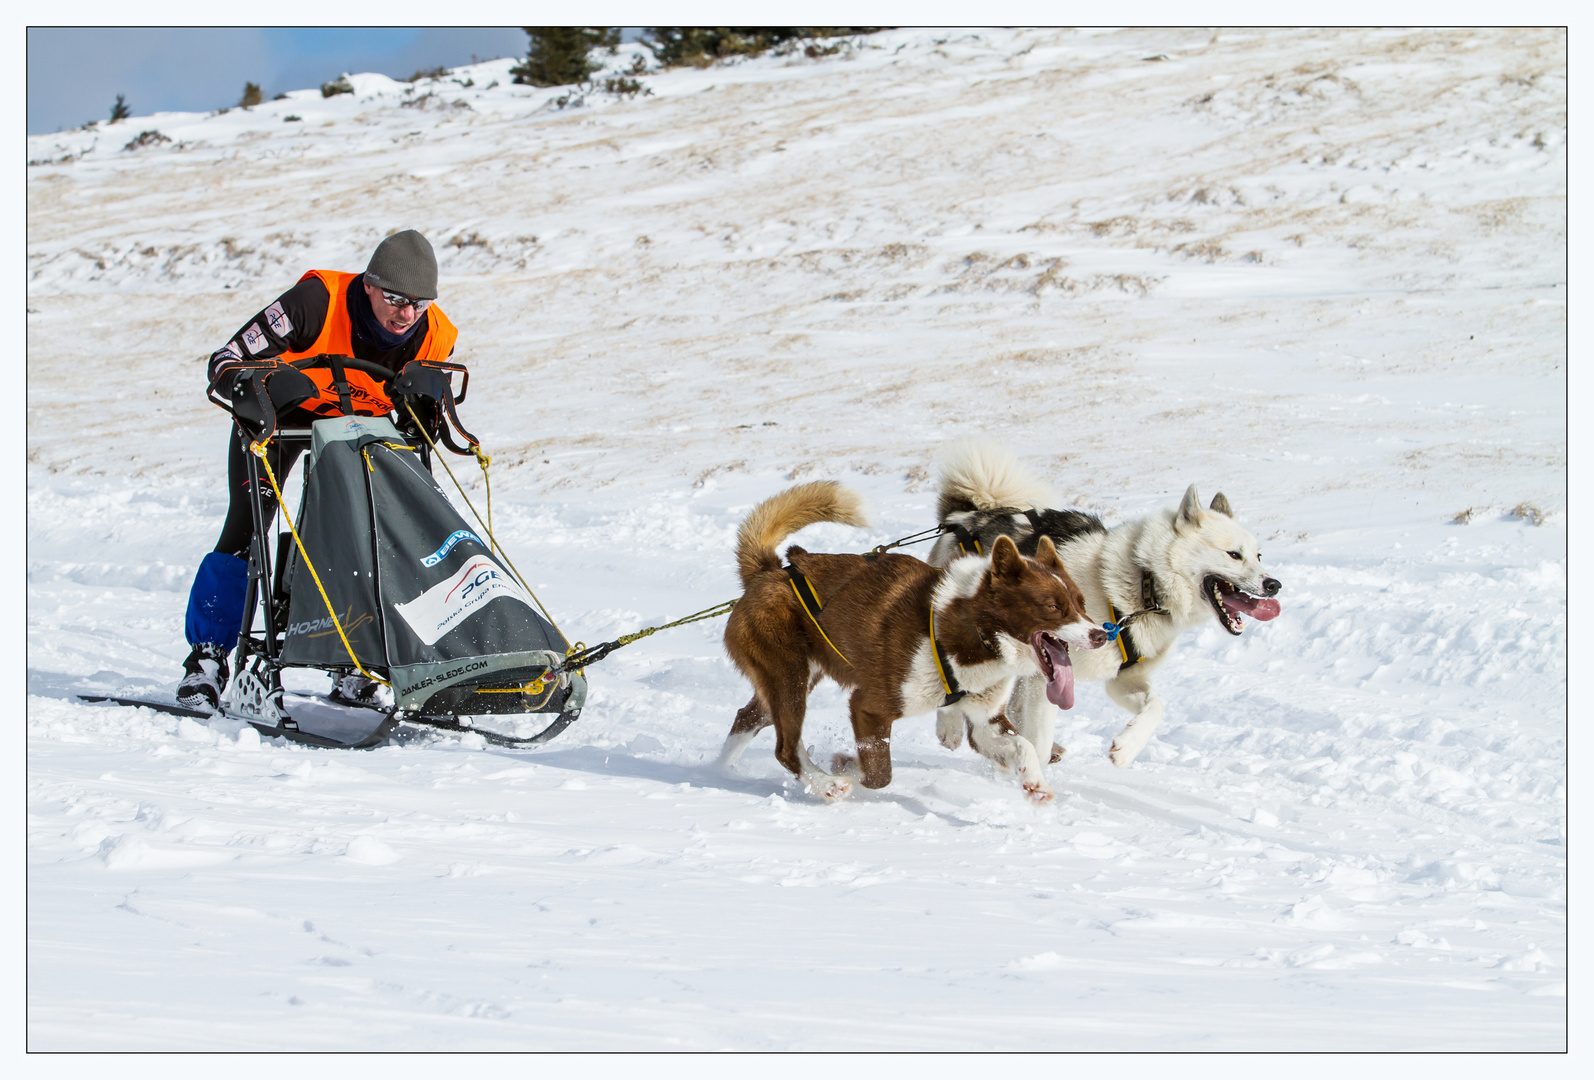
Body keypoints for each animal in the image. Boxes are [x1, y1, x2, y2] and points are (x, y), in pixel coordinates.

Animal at [720, 481, 1103, 802]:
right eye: (1053, 607)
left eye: (1081, 603)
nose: (1100, 634)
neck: (968, 628)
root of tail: (770, 571)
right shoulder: (869, 707)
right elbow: (878, 774)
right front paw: (847, 765)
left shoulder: (985, 719)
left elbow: (1023, 745)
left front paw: (1035, 783)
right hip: (790, 679)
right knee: (785, 747)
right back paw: (826, 784)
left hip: (792, 679)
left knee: (747, 718)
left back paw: (720, 771)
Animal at [924, 436, 1281, 770]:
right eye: (1233, 554)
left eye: (1259, 556)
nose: (1274, 585)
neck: (1144, 583)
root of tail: (966, 516)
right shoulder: (1045, 675)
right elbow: (1037, 738)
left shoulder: (1122, 680)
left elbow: (1156, 706)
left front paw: (1127, 747)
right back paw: (951, 727)